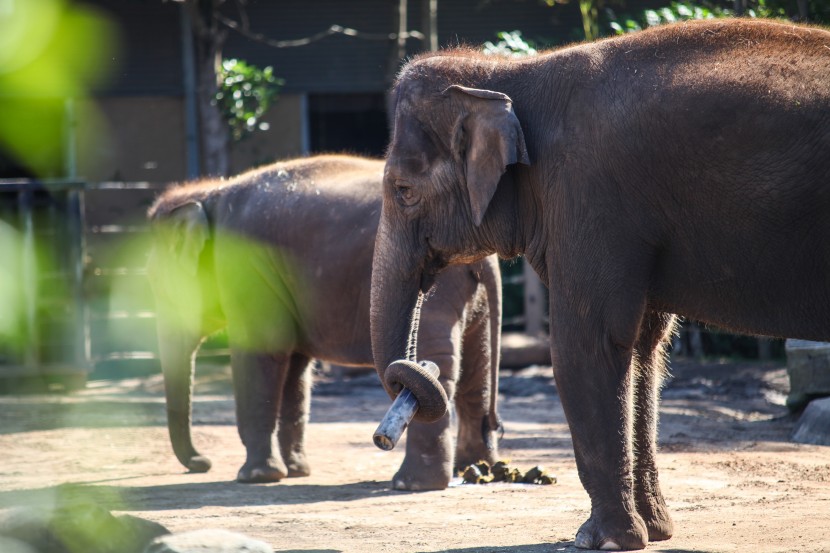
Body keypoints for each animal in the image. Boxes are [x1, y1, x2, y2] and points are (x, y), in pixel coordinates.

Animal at [146, 153, 504, 490]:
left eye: (154, 285)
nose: (202, 462)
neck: (210, 194)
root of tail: (486, 260)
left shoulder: (246, 267)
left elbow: (263, 350)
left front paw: (256, 477)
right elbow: (294, 367)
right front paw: (295, 472)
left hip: (435, 291)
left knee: (439, 368)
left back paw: (411, 484)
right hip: (469, 296)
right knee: (477, 369)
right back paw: (475, 471)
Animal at [374, 19, 830, 548]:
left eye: (403, 191)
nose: (382, 438)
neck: (514, 74)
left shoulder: (589, 195)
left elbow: (586, 346)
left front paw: (600, 539)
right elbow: (642, 348)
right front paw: (654, 531)